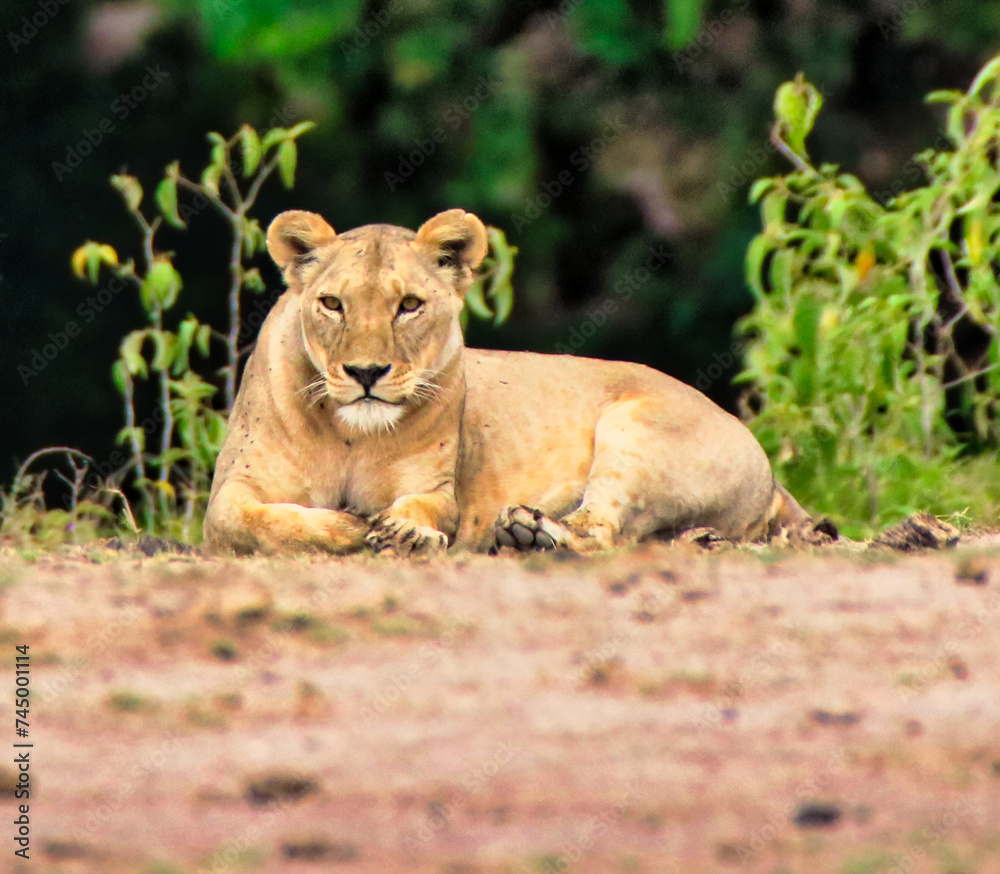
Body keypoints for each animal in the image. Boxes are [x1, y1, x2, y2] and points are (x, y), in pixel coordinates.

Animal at [203, 208, 812, 556]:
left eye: (409, 305)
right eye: (332, 304)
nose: (366, 373)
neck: (349, 434)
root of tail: (770, 472)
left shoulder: (437, 490)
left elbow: (425, 509)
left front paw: (405, 533)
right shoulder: (229, 495)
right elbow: (257, 522)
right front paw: (354, 527)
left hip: (634, 429)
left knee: (601, 531)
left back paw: (532, 532)